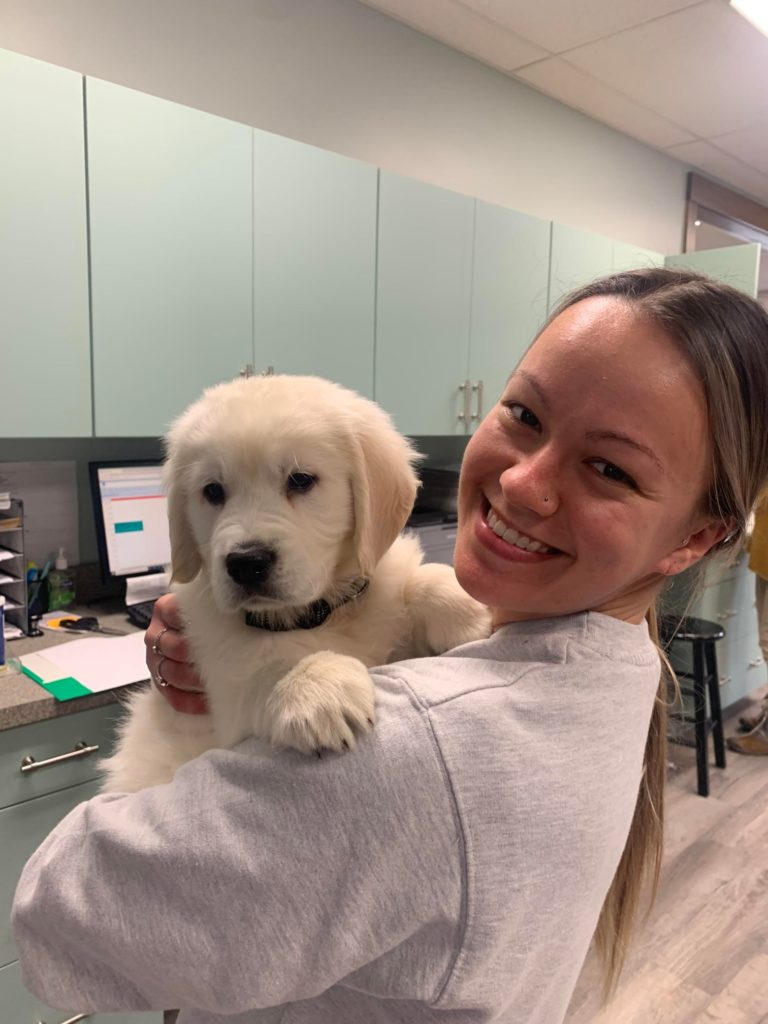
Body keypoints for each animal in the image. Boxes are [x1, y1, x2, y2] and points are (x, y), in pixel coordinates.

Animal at [99, 376, 489, 790]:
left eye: (301, 480)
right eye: (213, 491)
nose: (246, 563)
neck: (320, 613)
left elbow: (415, 582)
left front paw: (465, 607)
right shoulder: (224, 703)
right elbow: (266, 666)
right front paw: (314, 685)